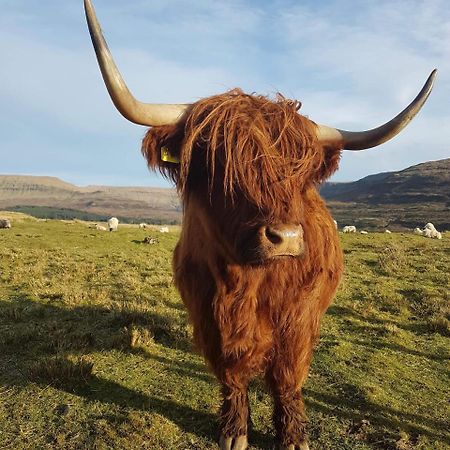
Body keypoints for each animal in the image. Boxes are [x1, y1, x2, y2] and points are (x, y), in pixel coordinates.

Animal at [84, 1, 436, 448]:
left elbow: (286, 376)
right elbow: (231, 374)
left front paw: (293, 434)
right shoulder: (207, 314)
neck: (246, 281)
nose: (284, 238)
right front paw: (234, 430)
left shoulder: (298, 318)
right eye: (220, 165)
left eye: (301, 174)